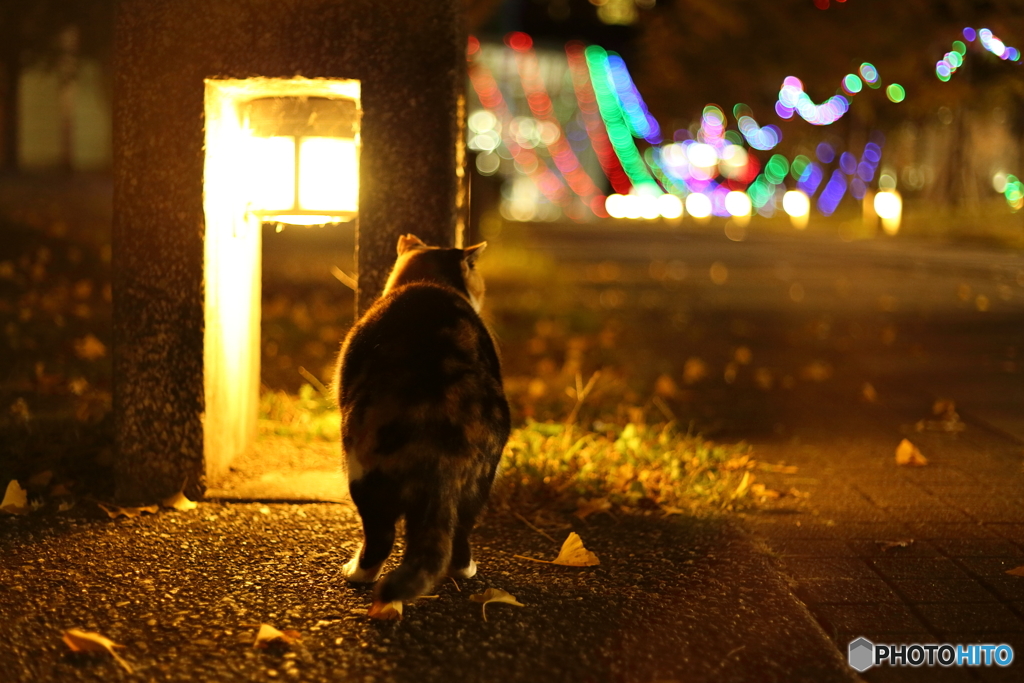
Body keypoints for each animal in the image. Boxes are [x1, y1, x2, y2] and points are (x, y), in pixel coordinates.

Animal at [335, 232, 512, 606]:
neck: (428, 282)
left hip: (361, 469)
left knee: (380, 535)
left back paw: (357, 574)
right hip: (480, 481)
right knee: (460, 531)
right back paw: (464, 570)